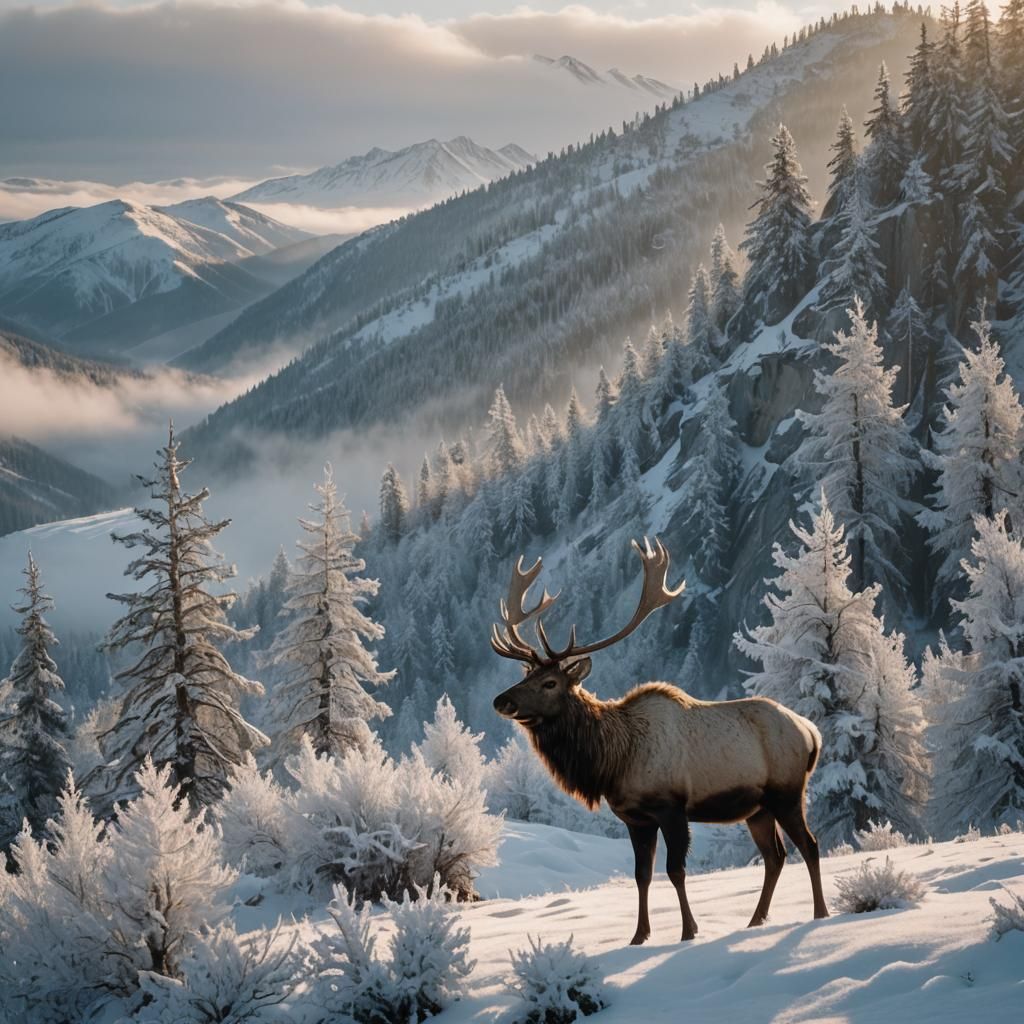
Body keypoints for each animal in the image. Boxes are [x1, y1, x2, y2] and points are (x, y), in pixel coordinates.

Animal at [491, 537, 829, 944]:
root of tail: (811, 732)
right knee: (774, 856)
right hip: (757, 808)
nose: (501, 700)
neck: (613, 761)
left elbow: (675, 871)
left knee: (809, 845)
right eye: (525, 675)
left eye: (550, 682)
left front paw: (688, 931)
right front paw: (639, 936)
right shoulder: (635, 819)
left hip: (787, 792)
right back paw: (755, 920)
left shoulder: (672, 808)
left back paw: (820, 913)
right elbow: (642, 876)